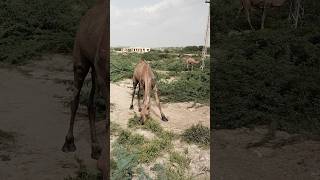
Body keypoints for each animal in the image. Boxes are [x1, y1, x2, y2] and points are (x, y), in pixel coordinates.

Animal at [61, 0, 110, 179]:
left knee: (91, 103)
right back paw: (68, 143)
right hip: (81, 59)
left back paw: (95, 149)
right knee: (75, 99)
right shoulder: (103, 71)